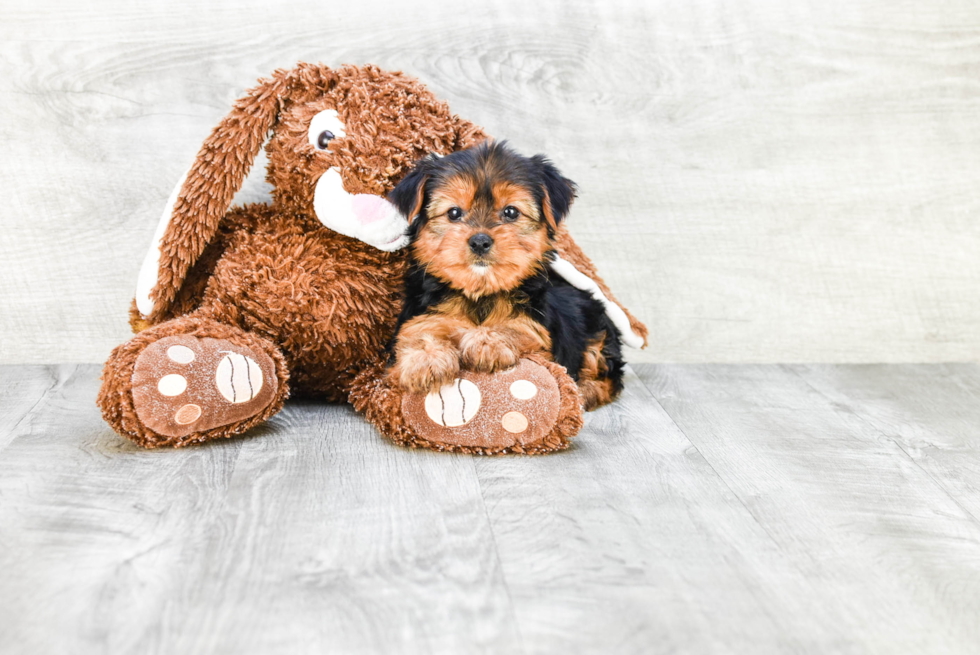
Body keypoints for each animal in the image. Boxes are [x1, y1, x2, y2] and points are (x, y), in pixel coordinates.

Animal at [384, 142, 624, 410]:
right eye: (453, 213)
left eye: (511, 212)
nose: (480, 241)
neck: (480, 291)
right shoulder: (419, 318)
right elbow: (418, 333)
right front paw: (425, 360)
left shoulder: (539, 333)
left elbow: (518, 327)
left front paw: (488, 342)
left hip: (599, 330)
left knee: (607, 374)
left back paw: (586, 391)